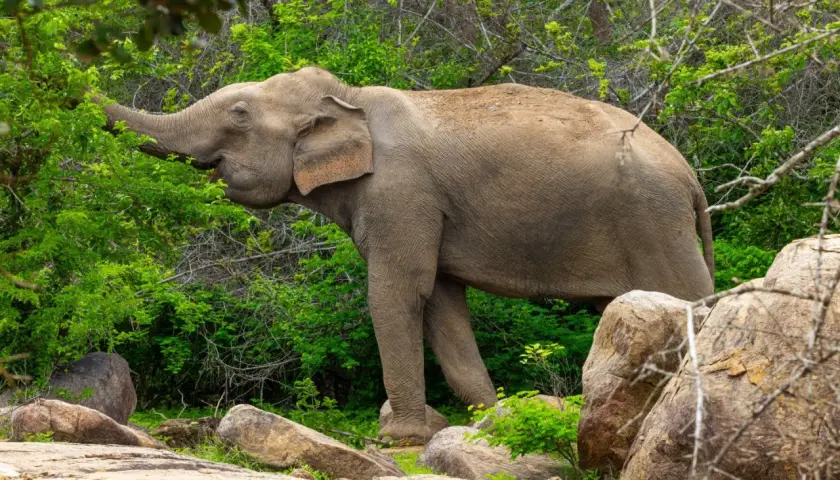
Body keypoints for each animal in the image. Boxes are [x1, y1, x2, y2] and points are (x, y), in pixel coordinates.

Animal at [100, 66, 715, 444]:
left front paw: (399, 438)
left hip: (655, 224)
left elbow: (398, 293)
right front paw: (491, 420)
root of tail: (691, 177)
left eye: (238, 114)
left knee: (691, 301)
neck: (353, 99)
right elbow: (441, 302)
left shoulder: (401, 194)